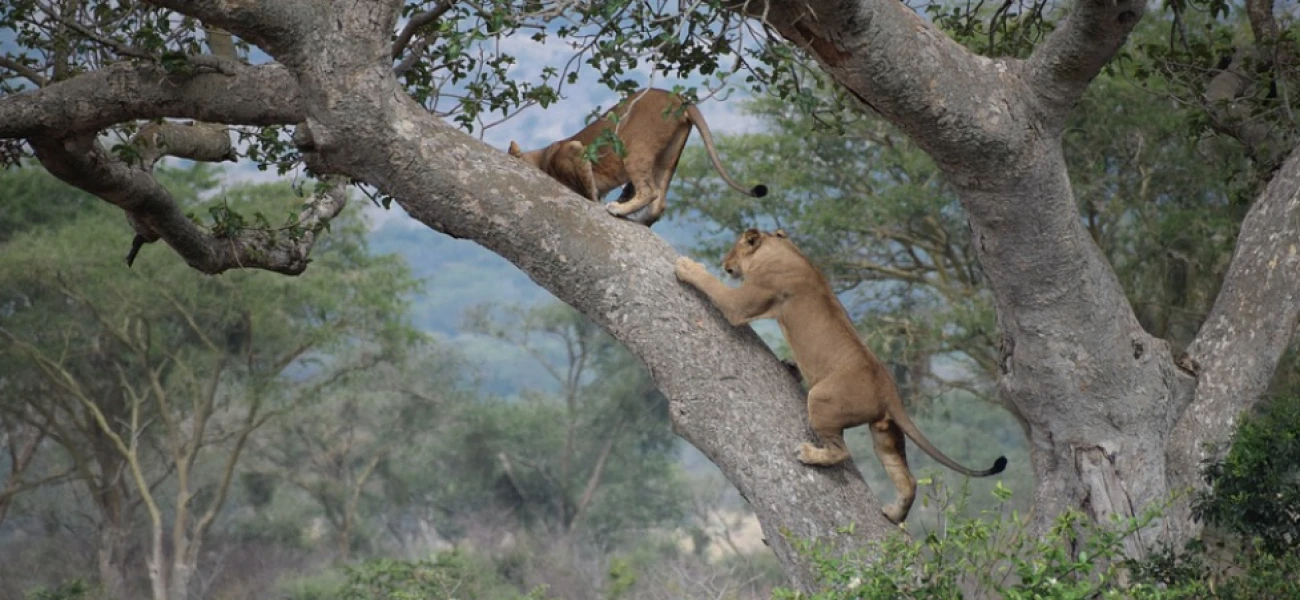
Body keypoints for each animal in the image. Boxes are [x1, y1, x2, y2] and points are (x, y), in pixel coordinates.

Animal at [506, 88, 764, 227]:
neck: (542, 156)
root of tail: (677, 98)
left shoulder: (574, 149)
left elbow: (587, 188)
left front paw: (594, 199)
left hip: (634, 146)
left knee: (649, 191)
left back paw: (619, 210)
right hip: (668, 156)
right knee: (659, 201)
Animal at [676, 229, 1008, 524]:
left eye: (733, 250)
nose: (725, 262)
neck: (784, 250)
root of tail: (890, 391)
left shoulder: (743, 303)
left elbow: (713, 286)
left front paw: (686, 266)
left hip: (822, 400)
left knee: (842, 452)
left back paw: (809, 453)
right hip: (885, 433)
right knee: (908, 479)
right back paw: (893, 514)